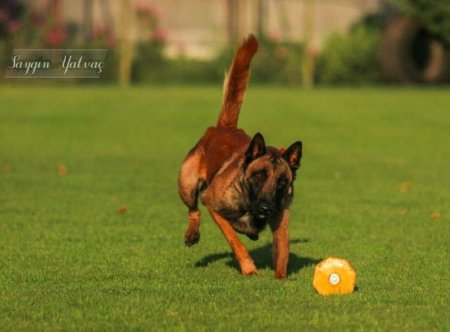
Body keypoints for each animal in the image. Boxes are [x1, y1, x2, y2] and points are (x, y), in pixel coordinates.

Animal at [178, 33, 302, 278]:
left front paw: (280, 279)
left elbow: (282, 251)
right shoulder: (213, 205)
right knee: (193, 210)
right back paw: (192, 234)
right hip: (186, 185)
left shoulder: (281, 219)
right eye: (259, 175)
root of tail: (224, 128)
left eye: (282, 181)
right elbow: (235, 241)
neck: (250, 201)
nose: (266, 209)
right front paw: (249, 269)